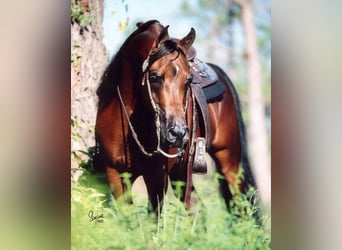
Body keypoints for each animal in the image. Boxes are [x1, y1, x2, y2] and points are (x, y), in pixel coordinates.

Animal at [93, 19, 256, 215]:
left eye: (188, 80)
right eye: (154, 77)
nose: (178, 133)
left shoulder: (156, 176)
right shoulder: (115, 173)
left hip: (229, 163)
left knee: (241, 208)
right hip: (182, 173)